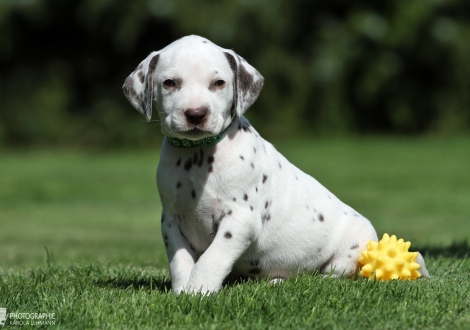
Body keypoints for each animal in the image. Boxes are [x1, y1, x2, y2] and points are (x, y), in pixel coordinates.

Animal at [122, 35, 430, 294]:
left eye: (218, 83)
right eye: (169, 83)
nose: (195, 114)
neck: (197, 156)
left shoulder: (240, 220)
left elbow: (212, 258)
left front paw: (198, 291)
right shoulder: (172, 220)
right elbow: (180, 261)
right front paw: (182, 292)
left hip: (349, 249)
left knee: (329, 276)